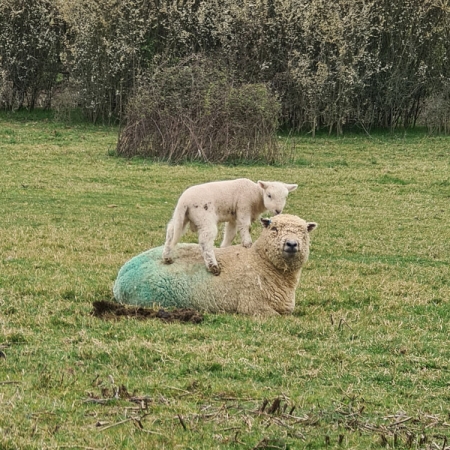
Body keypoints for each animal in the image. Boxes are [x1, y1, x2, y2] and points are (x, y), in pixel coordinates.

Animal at [112, 214, 316, 316]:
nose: (291, 244)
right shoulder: (253, 306)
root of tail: (120, 276)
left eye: (304, 232)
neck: (260, 260)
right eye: (274, 229)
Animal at [163, 178, 298, 276]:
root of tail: (184, 201)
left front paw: (224, 248)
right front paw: (247, 243)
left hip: (180, 217)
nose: (278, 211)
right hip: (205, 217)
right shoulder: (243, 207)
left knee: (171, 232)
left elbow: (230, 234)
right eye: (269, 195)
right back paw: (213, 266)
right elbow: (245, 225)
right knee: (205, 240)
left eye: (285, 197)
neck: (256, 195)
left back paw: (166, 257)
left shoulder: (233, 217)